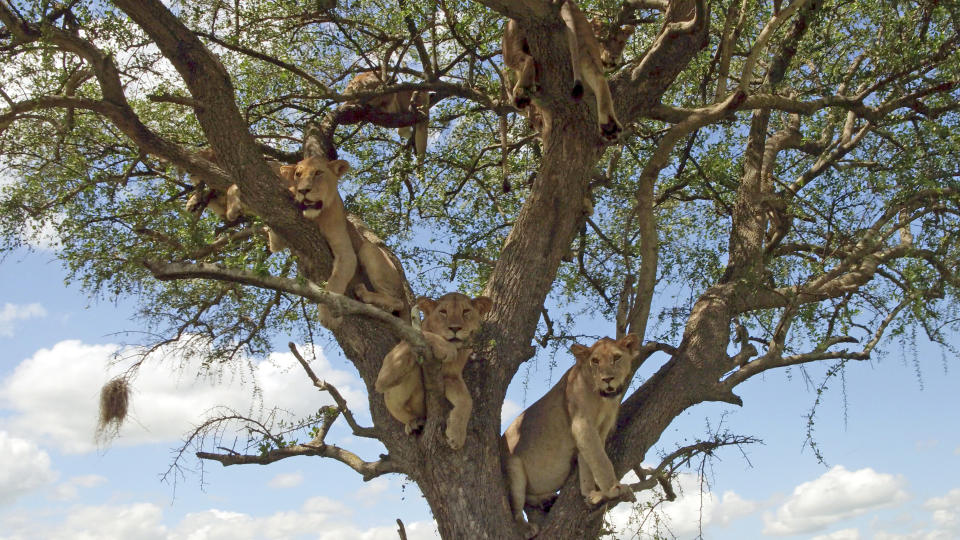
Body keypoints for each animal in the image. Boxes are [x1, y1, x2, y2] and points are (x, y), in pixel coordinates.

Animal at [284, 154, 406, 326]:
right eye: (298, 174)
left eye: (318, 173)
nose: (303, 190)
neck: (317, 216)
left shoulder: (346, 253)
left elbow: (335, 282)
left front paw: (327, 314)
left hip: (369, 250)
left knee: (397, 302)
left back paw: (365, 294)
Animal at [376, 294, 496, 450]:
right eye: (443, 312)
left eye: (466, 311)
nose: (455, 328)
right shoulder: (387, 371)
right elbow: (423, 333)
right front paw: (446, 349)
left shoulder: (452, 377)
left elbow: (466, 400)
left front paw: (456, 435)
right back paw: (413, 423)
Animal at [502, 0, 624, 141]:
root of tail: (570, 3)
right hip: (584, 42)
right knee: (598, 77)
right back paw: (609, 126)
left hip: (511, 38)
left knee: (526, 60)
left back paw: (521, 92)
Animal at [502, 334, 636, 536]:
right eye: (595, 361)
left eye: (617, 357)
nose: (607, 379)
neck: (602, 399)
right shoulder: (582, 424)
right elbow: (601, 461)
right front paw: (614, 489)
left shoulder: (598, 430)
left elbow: (589, 462)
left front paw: (591, 495)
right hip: (513, 465)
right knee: (516, 505)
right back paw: (527, 526)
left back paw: (546, 500)